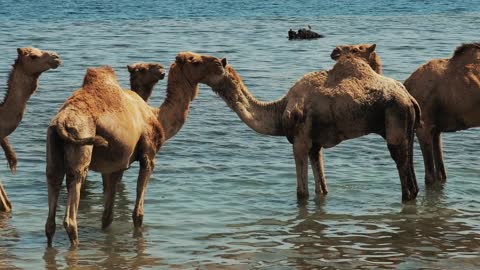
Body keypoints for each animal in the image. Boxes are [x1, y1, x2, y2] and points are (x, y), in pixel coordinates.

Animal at [45, 51, 225, 247]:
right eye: (195, 61)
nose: (220, 62)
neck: (155, 115)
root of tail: (62, 121)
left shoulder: (114, 166)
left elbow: (107, 216)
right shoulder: (148, 156)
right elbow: (138, 213)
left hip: (52, 148)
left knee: (51, 205)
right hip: (81, 146)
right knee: (72, 207)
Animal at [202, 45, 420, 200]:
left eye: (214, 65)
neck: (279, 110)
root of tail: (410, 99)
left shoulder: (300, 140)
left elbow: (302, 192)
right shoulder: (316, 145)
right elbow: (321, 188)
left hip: (395, 121)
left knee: (404, 173)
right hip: (408, 130)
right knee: (412, 173)